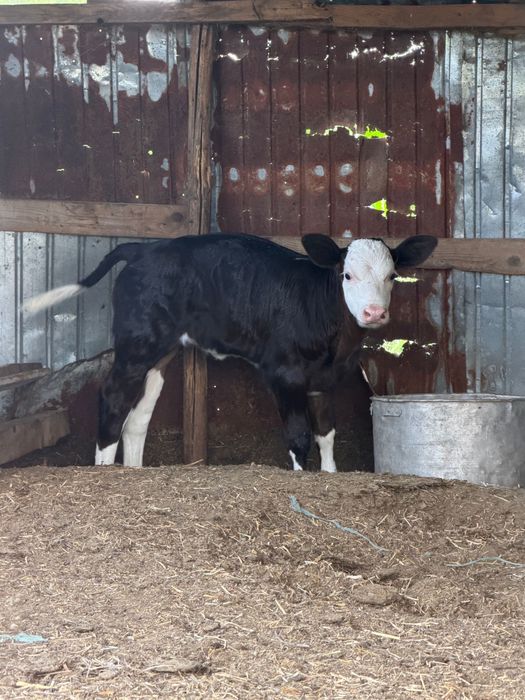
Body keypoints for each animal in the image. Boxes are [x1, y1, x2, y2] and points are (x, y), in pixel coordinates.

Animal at [24, 233, 437, 471]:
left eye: (392, 276)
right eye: (346, 275)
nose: (374, 313)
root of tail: (143, 247)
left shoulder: (324, 381)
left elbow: (326, 434)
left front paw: (329, 475)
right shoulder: (284, 373)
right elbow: (299, 436)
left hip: (162, 349)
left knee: (139, 412)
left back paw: (135, 471)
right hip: (137, 342)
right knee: (113, 396)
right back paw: (105, 470)